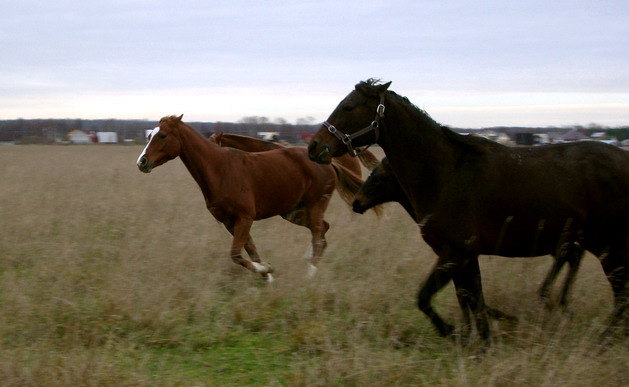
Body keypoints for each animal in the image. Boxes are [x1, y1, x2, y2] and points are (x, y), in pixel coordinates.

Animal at [354, 158, 584, 312]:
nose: (357, 203)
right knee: (571, 257)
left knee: (572, 256)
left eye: (380, 177)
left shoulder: (457, 253)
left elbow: (466, 294)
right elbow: (464, 294)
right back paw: (557, 302)